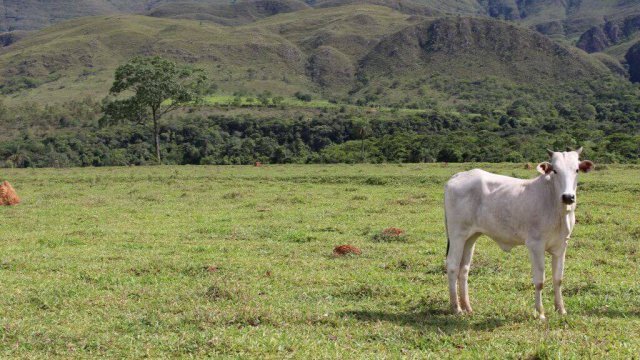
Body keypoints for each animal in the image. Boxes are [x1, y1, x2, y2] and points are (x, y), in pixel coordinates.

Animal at [444, 148, 596, 320]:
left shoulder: (562, 245)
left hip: (470, 237)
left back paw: (467, 307)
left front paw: (561, 309)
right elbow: (539, 281)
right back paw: (456, 308)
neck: (556, 207)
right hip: (457, 235)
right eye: (555, 170)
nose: (568, 197)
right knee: (452, 266)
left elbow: (558, 279)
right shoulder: (535, 245)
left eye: (576, 170)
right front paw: (540, 313)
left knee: (464, 269)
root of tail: (457, 176)